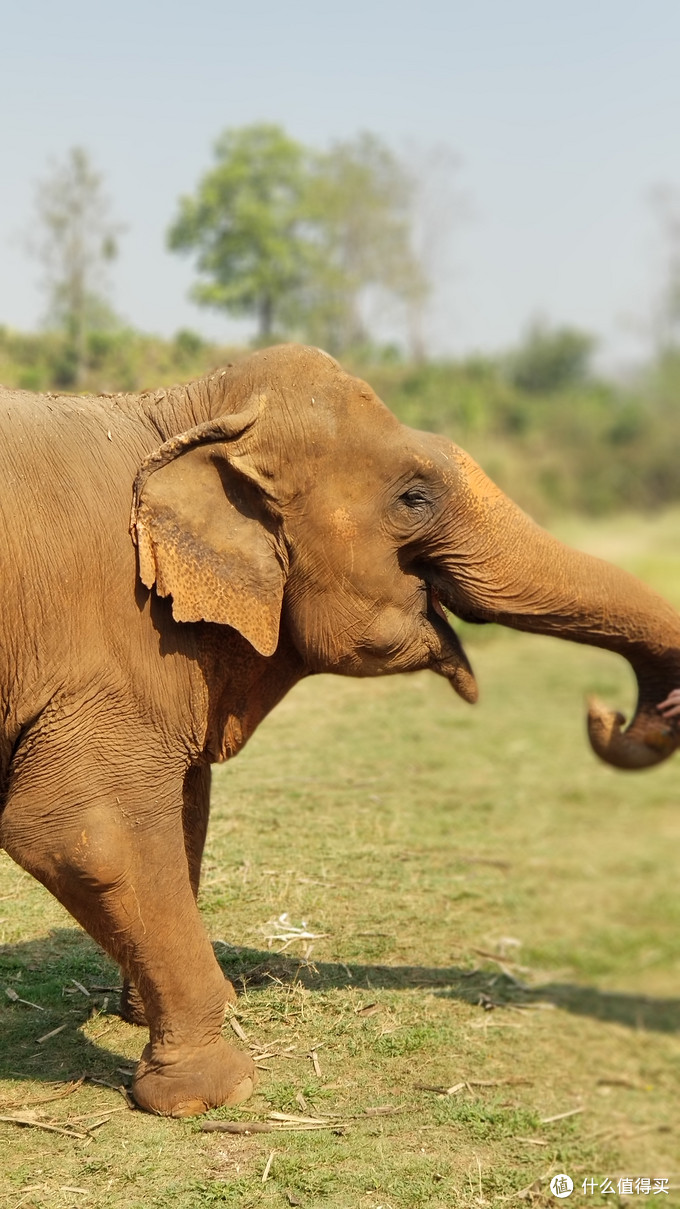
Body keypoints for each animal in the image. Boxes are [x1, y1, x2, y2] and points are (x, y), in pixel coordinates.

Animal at [1, 340, 677, 1112]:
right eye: (414, 497)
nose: (606, 711)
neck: (179, 408)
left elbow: (184, 801)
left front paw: (160, 1013)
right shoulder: (108, 638)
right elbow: (87, 826)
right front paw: (216, 1090)